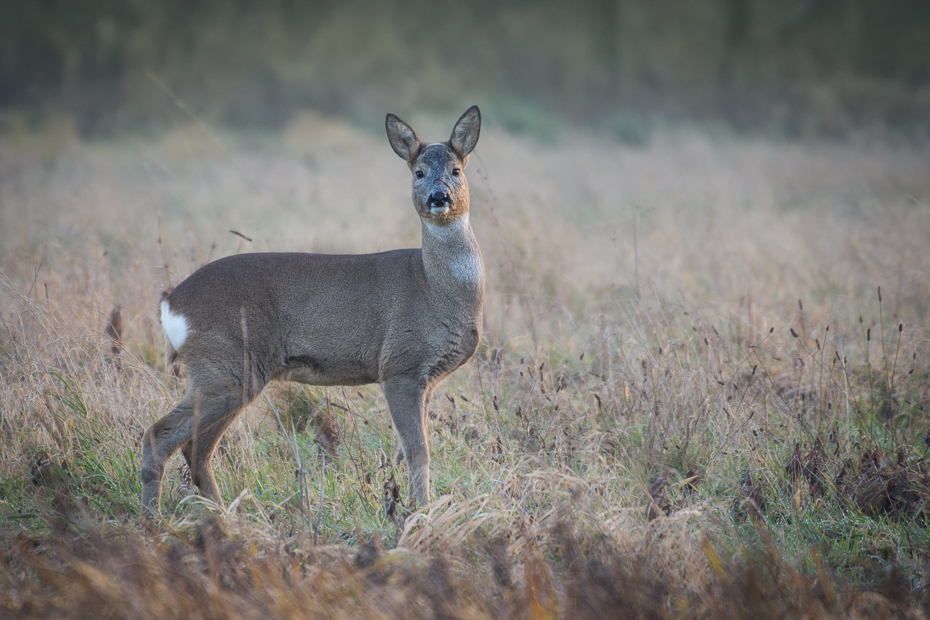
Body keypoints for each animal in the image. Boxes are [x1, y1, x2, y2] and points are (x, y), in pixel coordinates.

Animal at [143, 105, 486, 512]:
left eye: (456, 169)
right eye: (418, 172)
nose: (438, 196)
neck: (435, 289)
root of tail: (171, 302)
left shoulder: (427, 378)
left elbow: (412, 451)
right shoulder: (399, 366)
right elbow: (418, 452)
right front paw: (422, 513)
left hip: (226, 374)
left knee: (196, 449)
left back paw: (228, 514)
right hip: (226, 366)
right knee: (160, 436)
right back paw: (157, 517)